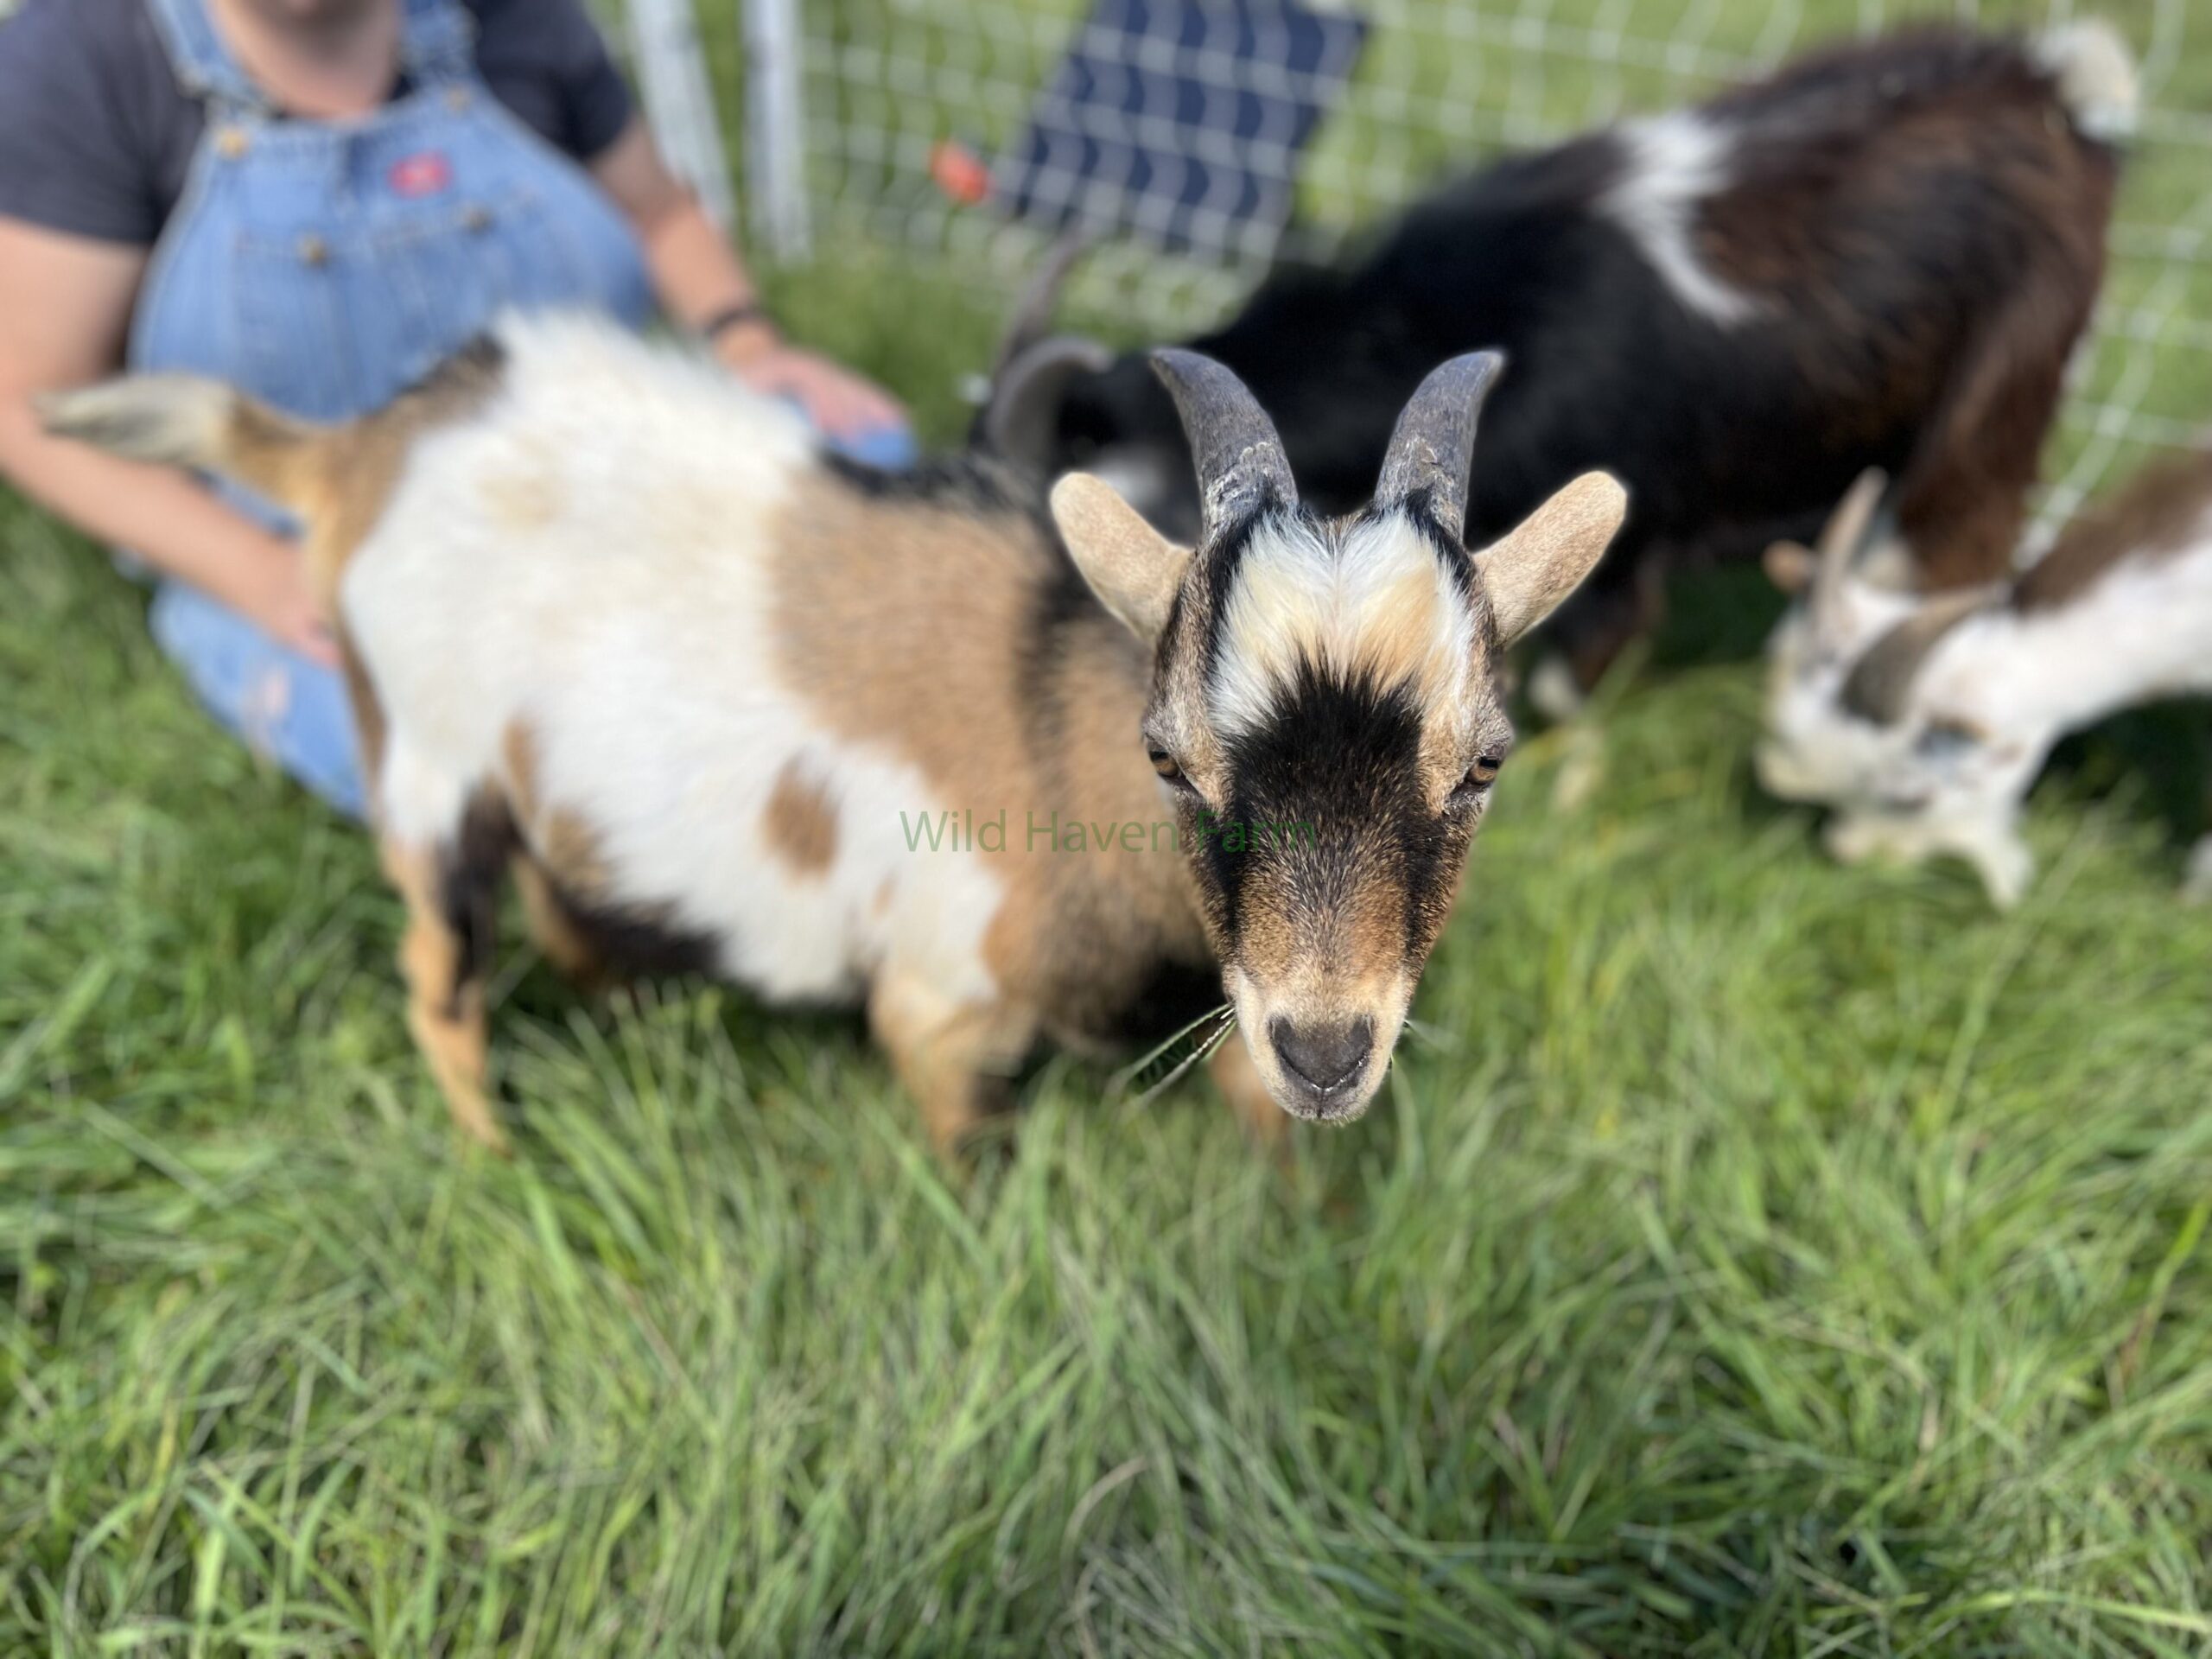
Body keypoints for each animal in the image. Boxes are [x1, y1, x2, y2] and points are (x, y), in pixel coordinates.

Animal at [41, 314, 1626, 1152]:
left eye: (1485, 763)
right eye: (1169, 757)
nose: (1325, 1049)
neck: (1044, 711)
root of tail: (356, 449)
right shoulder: (938, 1006)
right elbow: (966, 1144)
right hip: (429, 777)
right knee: (441, 974)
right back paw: (493, 1155)